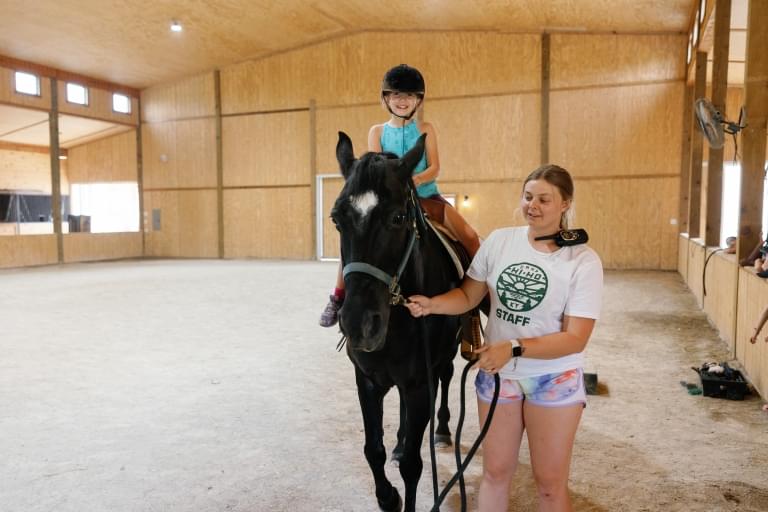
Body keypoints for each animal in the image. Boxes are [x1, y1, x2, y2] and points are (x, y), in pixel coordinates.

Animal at [332, 132, 462, 512]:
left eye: (398, 217)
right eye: (336, 219)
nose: (359, 324)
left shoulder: (420, 383)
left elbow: (413, 467)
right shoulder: (366, 380)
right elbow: (372, 449)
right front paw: (388, 497)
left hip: (443, 360)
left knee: (448, 378)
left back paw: (443, 430)